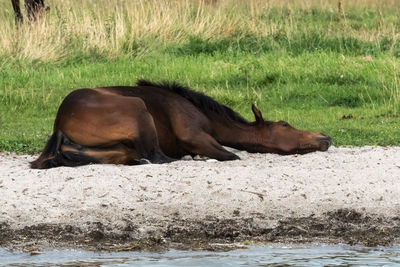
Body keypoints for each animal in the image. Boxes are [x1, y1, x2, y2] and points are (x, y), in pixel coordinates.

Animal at [30, 80, 332, 171]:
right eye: (285, 124)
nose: (325, 137)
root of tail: (59, 120)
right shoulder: (194, 136)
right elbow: (231, 155)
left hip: (114, 146)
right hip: (137, 109)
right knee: (156, 157)